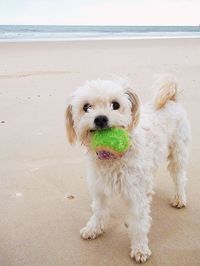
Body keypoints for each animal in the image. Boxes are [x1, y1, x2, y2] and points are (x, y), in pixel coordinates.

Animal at [65, 76, 191, 262]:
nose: (100, 119)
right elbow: (98, 211)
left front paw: (140, 249)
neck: (113, 157)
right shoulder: (98, 189)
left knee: (179, 176)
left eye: (115, 105)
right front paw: (94, 228)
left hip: (178, 152)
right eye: (86, 107)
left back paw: (179, 198)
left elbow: (138, 224)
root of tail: (171, 99)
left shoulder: (136, 197)